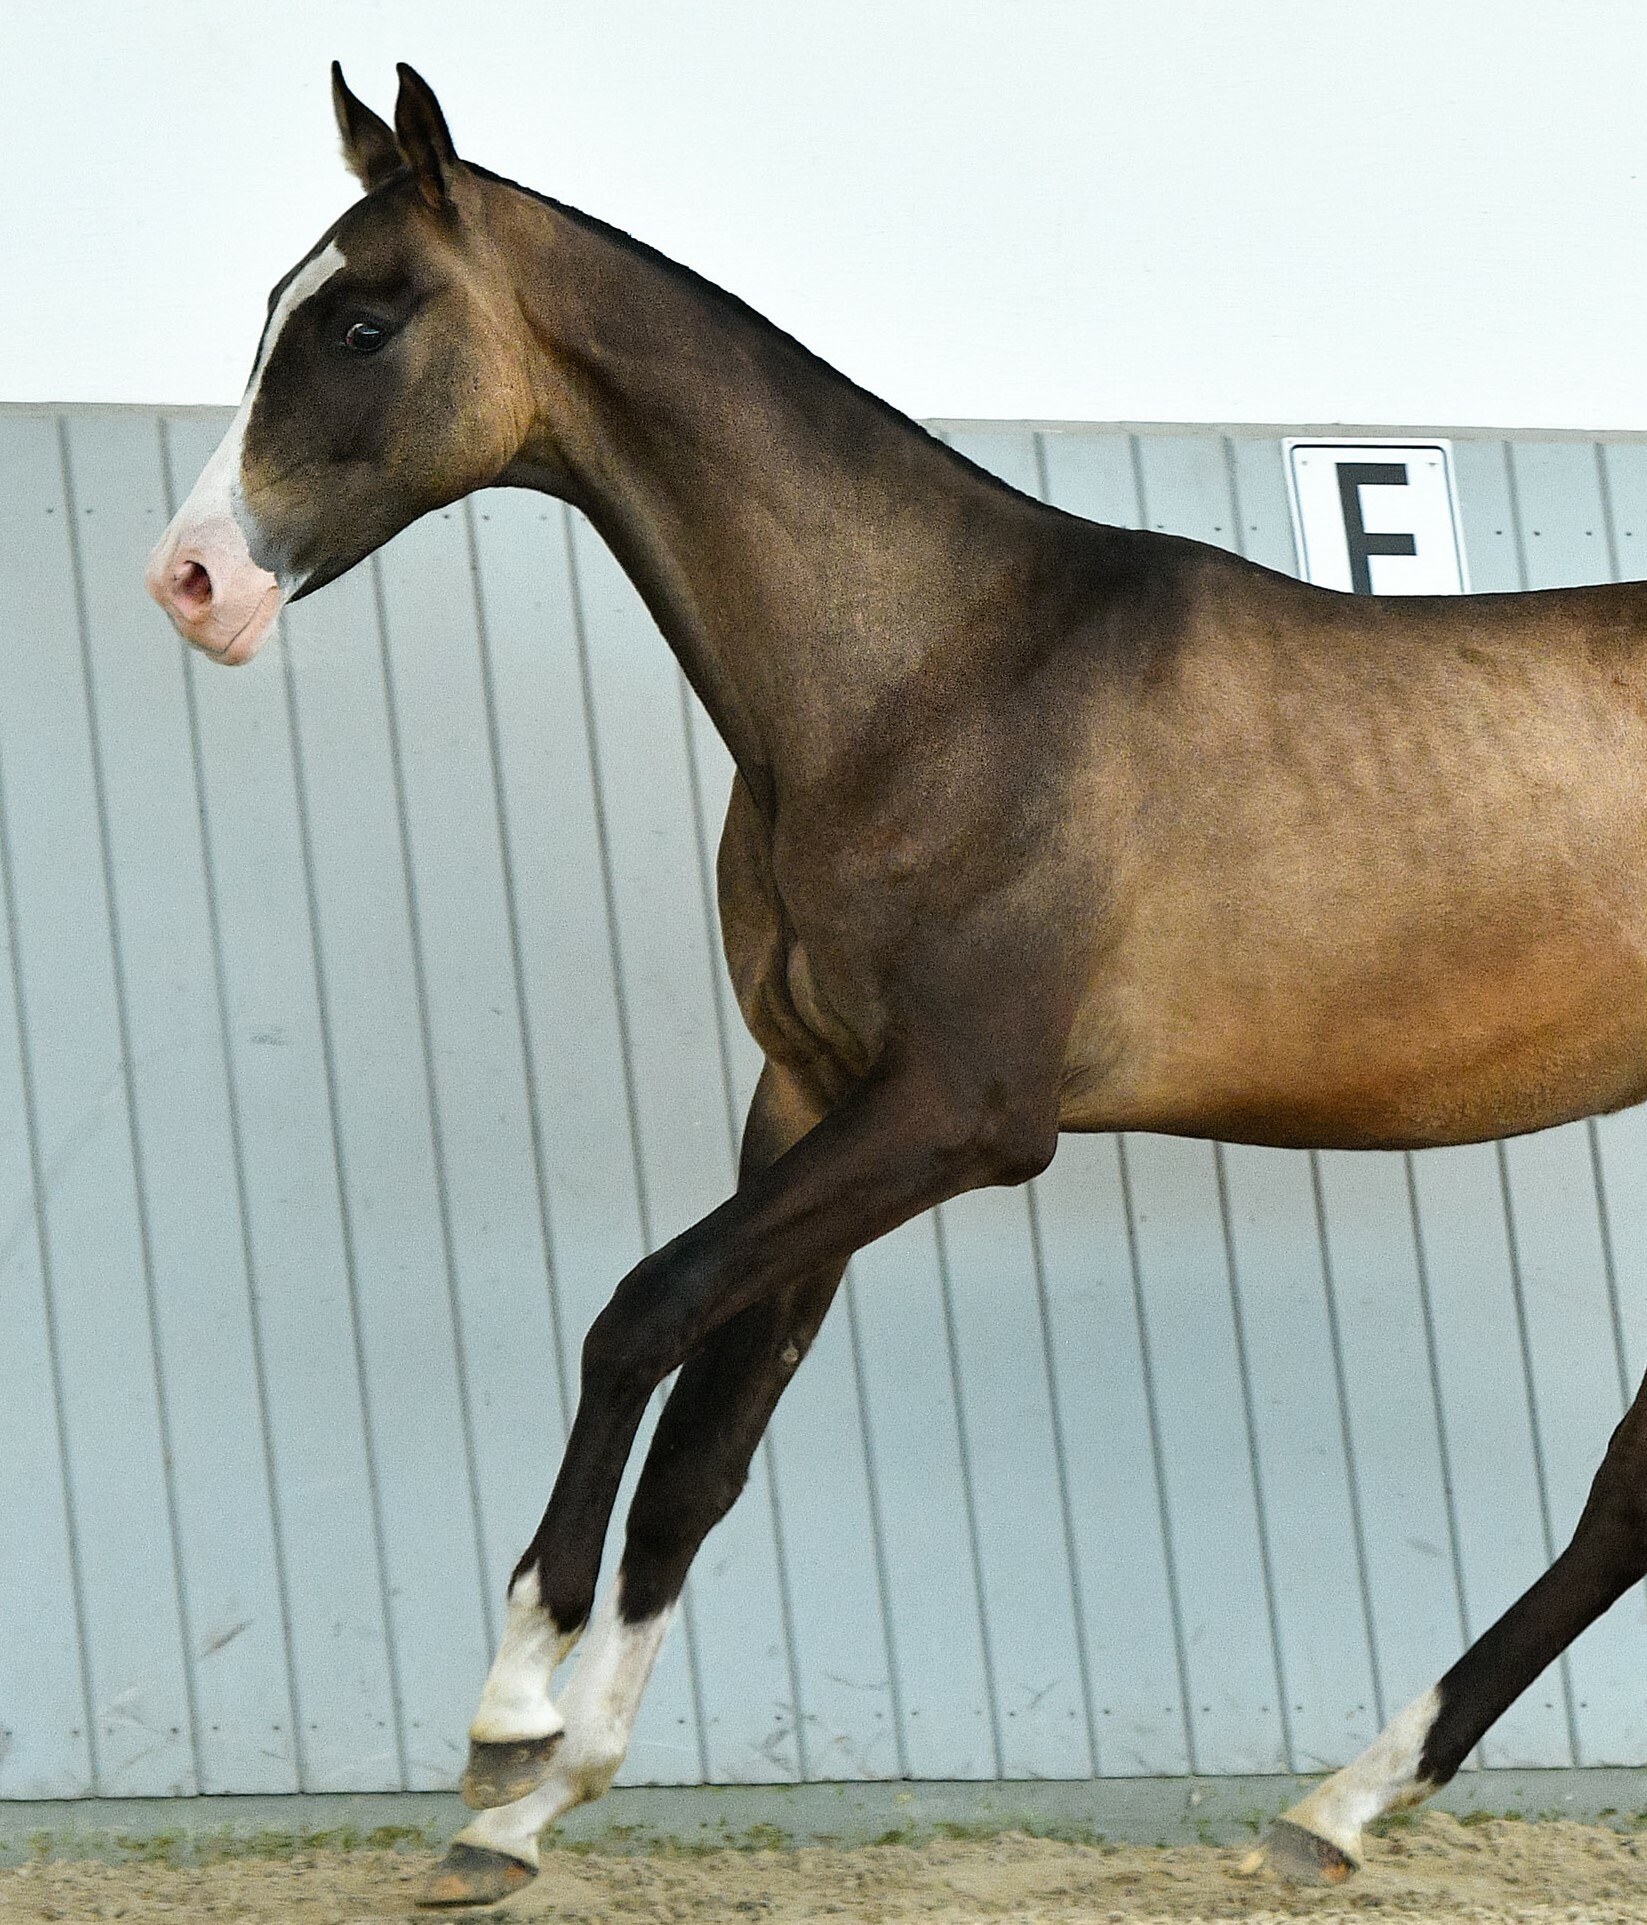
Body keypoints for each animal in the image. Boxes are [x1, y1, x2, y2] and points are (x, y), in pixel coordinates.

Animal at [144, 64, 1647, 1909]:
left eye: (361, 322)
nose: (193, 581)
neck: (926, 675)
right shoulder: (809, 1094)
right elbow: (702, 1449)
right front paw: (534, 1804)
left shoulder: (956, 1117)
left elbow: (637, 1309)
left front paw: (510, 1715)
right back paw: (1337, 1805)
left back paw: (1341, 1801)